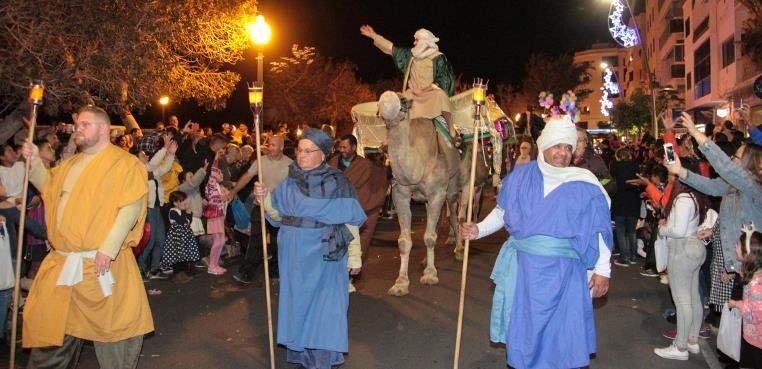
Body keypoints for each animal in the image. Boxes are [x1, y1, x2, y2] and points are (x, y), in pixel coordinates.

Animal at [374, 91, 458, 296]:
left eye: (403, 100)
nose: (385, 103)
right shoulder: (400, 194)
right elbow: (404, 241)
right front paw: (401, 283)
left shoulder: (437, 193)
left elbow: (429, 237)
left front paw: (430, 275)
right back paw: (424, 261)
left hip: (452, 183)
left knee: (454, 211)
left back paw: (459, 248)